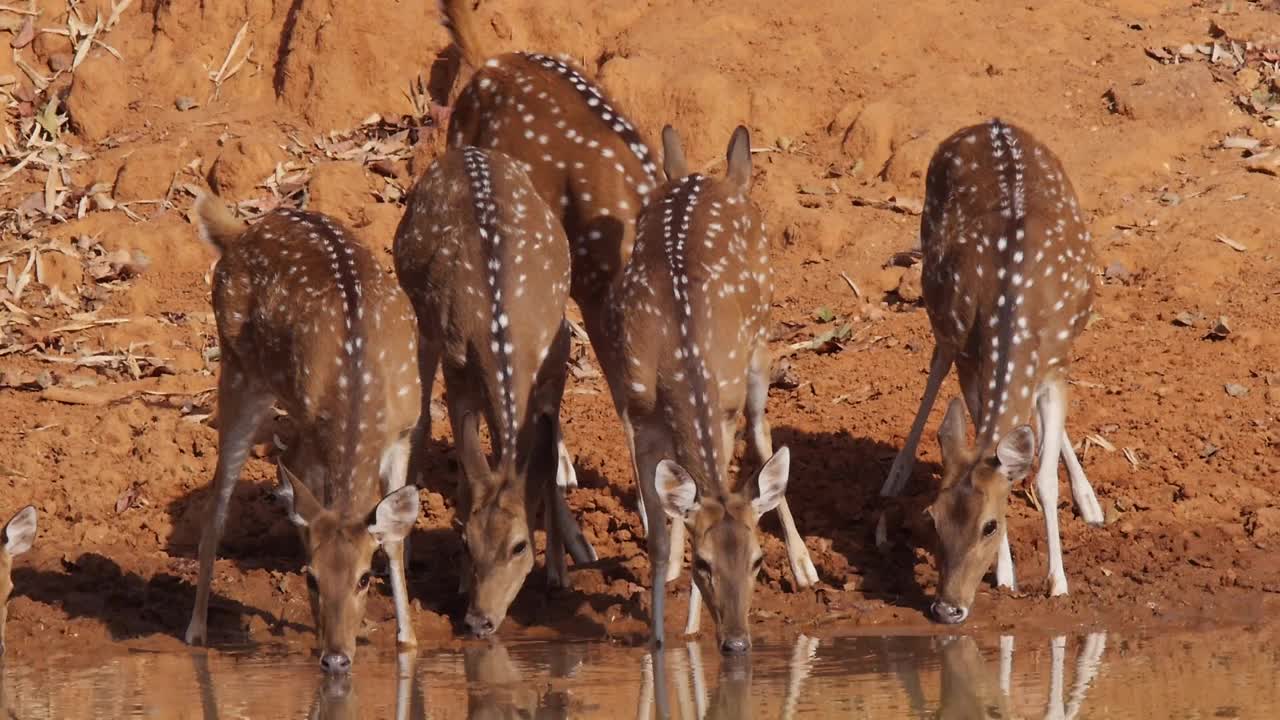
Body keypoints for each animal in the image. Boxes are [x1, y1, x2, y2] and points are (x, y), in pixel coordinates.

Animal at [183, 193, 422, 671]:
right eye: (311, 579)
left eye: (365, 578)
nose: (336, 658)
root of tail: (238, 234)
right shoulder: (315, 430)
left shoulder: (404, 431)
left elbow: (394, 539)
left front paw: (407, 641)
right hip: (241, 371)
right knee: (218, 504)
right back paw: (196, 632)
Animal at [391, 144, 591, 632]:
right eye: (466, 542)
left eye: (519, 545)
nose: (479, 620)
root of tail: (465, 150)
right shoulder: (459, 371)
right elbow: (468, 477)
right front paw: (463, 582)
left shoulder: (557, 356)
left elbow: (544, 459)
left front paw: (558, 574)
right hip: (423, 323)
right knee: (420, 422)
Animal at [601, 126, 819, 653]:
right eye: (705, 564)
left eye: (759, 561)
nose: (737, 642)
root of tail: (716, 177)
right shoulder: (638, 415)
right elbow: (661, 534)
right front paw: (660, 639)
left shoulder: (722, 409)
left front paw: (691, 630)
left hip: (759, 343)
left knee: (761, 435)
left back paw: (805, 566)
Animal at [875, 119, 1105, 622]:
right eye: (932, 518)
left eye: (990, 525)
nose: (948, 608)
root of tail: (991, 122)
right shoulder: (971, 361)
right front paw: (1006, 575)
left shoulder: (1057, 366)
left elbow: (1041, 476)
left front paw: (1057, 582)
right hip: (940, 307)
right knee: (937, 360)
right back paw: (895, 474)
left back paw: (1090, 500)